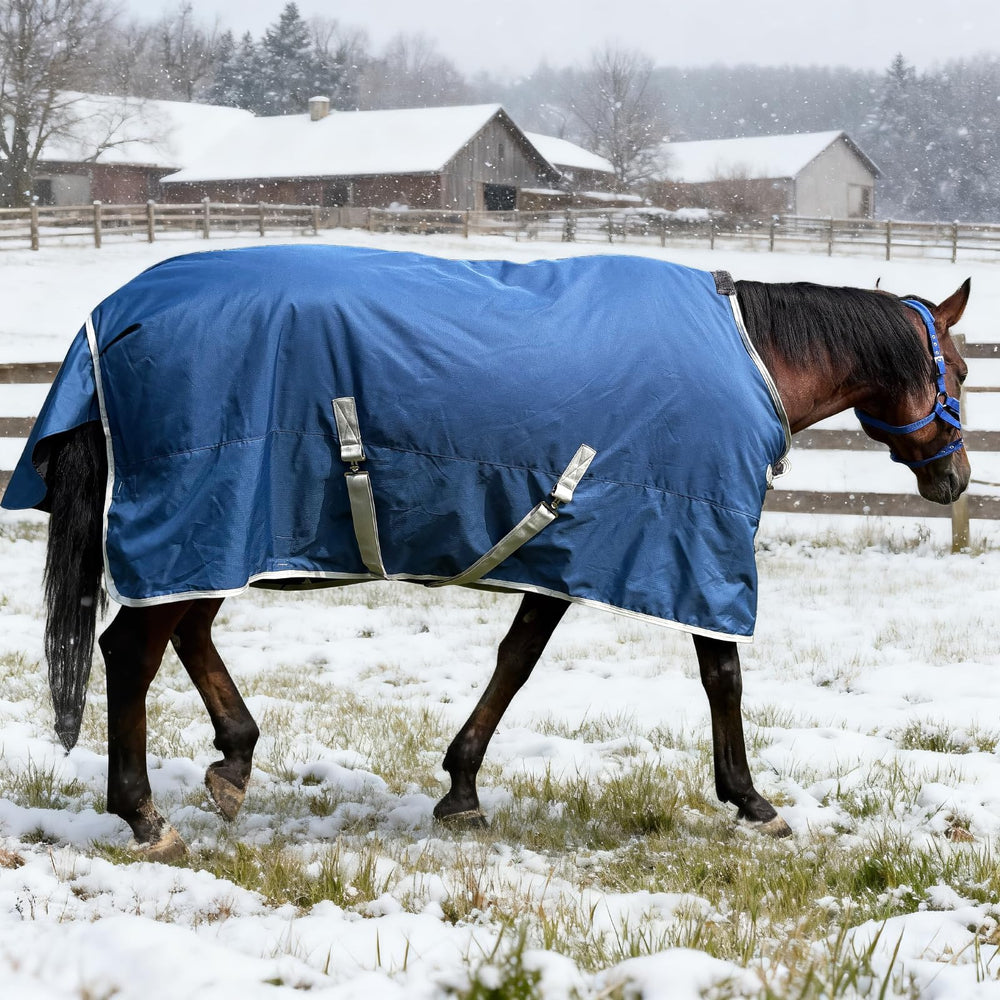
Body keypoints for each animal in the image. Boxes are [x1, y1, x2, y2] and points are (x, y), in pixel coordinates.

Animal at [1, 245, 970, 861]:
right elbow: (721, 675)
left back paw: (233, 760)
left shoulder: (570, 548)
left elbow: (516, 659)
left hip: (219, 538)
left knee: (182, 636)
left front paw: (460, 788)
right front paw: (751, 799)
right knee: (132, 651)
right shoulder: (694, 550)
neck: (748, 357)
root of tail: (115, 314)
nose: (956, 479)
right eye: (957, 369)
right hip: (202, 519)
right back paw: (144, 815)